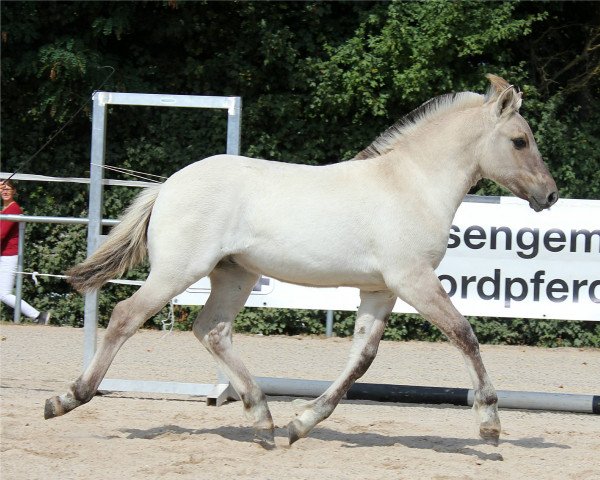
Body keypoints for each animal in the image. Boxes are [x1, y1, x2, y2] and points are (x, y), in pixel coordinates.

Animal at [45, 74, 556, 446]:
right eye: (519, 140)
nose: (549, 195)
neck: (410, 183)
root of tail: (167, 185)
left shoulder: (380, 290)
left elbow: (362, 359)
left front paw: (302, 423)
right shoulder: (413, 280)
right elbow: (463, 334)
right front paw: (490, 421)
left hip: (235, 276)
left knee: (212, 330)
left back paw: (264, 420)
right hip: (177, 271)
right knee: (126, 315)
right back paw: (68, 397)